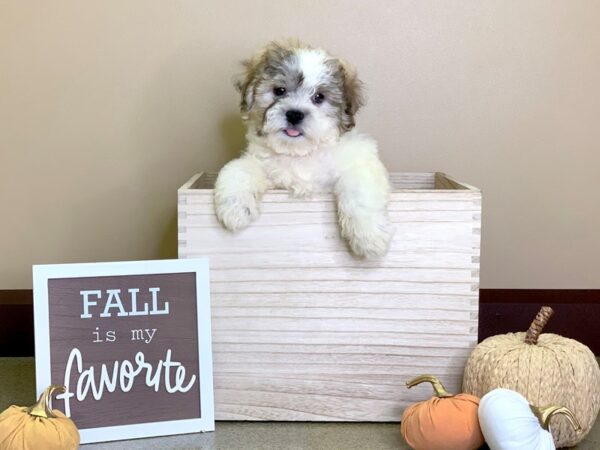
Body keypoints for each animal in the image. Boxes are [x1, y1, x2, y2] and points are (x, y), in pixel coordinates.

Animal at [213, 40, 392, 258]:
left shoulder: (359, 162)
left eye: (319, 97)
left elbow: (359, 191)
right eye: (280, 90)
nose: (294, 114)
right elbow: (239, 169)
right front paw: (235, 209)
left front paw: (368, 236)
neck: (299, 153)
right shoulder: (263, 166)